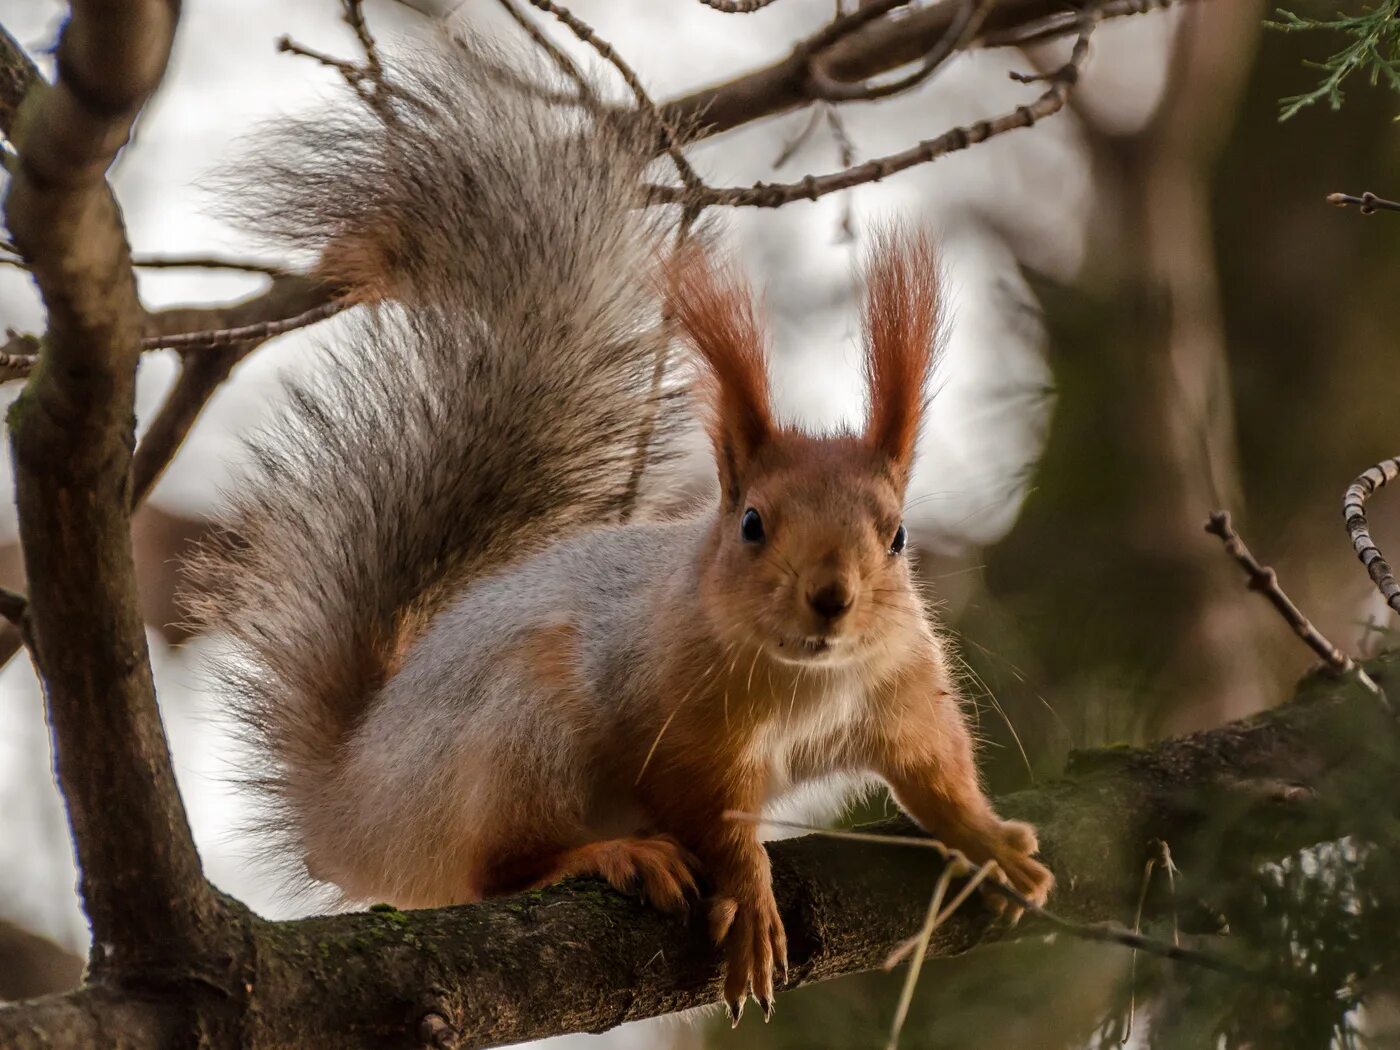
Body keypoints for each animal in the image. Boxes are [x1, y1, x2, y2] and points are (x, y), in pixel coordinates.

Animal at [194, 35, 1052, 1030]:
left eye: (899, 536)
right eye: (751, 523)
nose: (831, 599)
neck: (807, 682)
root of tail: (352, 805)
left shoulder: (903, 684)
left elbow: (933, 769)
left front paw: (988, 840)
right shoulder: (676, 723)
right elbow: (713, 818)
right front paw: (750, 897)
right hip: (520, 731)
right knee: (498, 870)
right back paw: (615, 854)